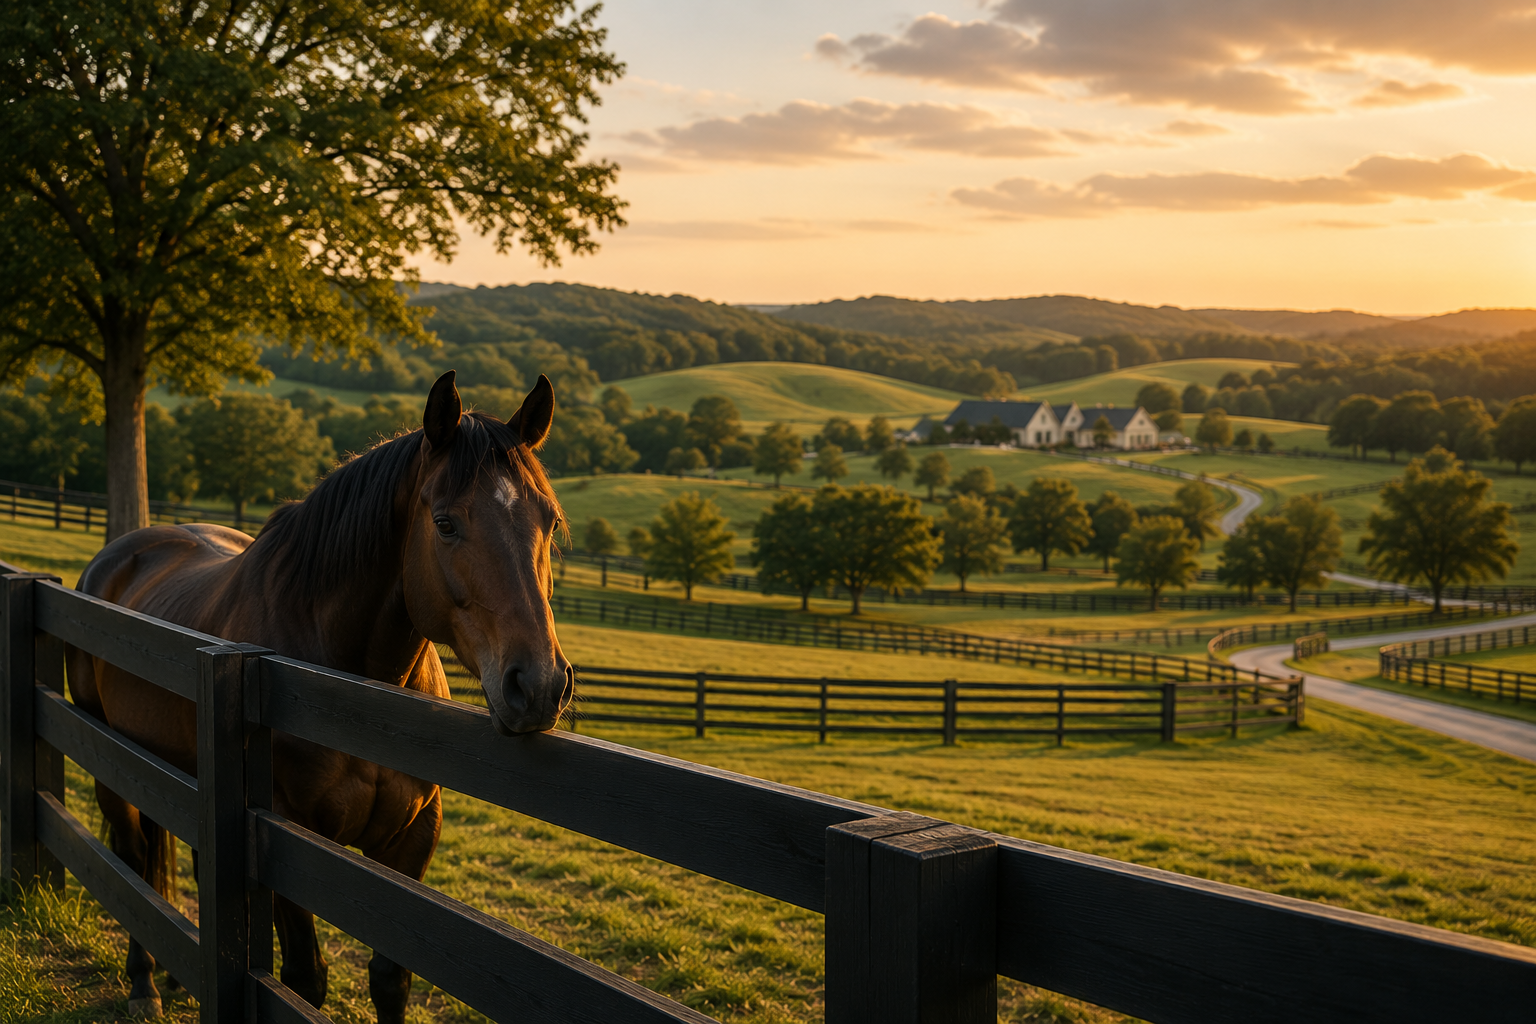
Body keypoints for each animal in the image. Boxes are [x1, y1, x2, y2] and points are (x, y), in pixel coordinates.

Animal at [65, 371, 573, 1021]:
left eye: (549, 523)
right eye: (445, 523)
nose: (538, 685)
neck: (355, 696)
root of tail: (116, 556)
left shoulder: (413, 836)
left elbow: (390, 980)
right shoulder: (281, 836)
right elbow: (304, 979)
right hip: (108, 760)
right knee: (132, 858)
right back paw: (143, 984)